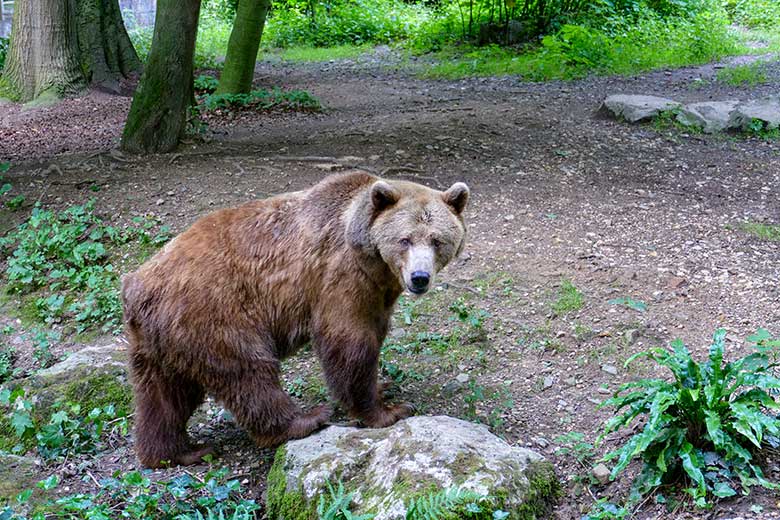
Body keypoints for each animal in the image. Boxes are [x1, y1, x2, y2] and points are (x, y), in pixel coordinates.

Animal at [122, 171, 470, 468]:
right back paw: (305, 419)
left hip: (161, 340)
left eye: (436, 240)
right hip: (214, 313)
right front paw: (388, 412)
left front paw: (384, 385)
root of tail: (134, 285)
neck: (373, 261)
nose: (420, 277)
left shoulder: (378, 293)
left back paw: (176, 452)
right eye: (405, 239)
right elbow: (349, 341)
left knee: (165, 396)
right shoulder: (340, 276)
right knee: (248, 372)